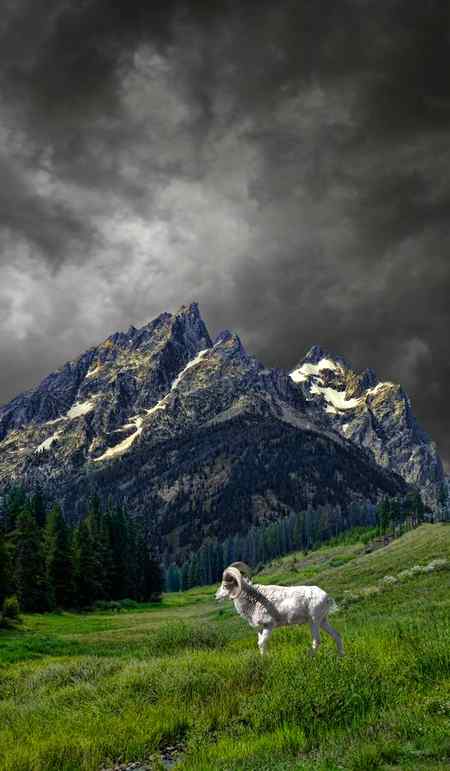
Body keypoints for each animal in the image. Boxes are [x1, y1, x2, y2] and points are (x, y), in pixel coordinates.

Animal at [215, 562, 344, 657]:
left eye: (225, 586)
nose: (216, 596)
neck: (254, 600)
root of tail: (326, 597)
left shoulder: (269, 625)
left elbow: (262, 643)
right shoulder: (260, 629)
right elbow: (260, 644)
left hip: (314, 622)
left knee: (316, 641)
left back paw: (310, 657)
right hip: (323, 621)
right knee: (337, 635)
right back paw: (340, 656)